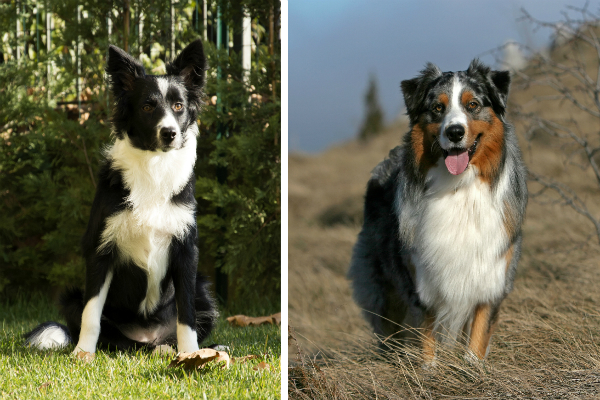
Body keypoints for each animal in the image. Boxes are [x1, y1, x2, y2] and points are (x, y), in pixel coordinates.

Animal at [26, 39, 218, 354]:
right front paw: (83, 354)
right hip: (72, 298)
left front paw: (191, 355)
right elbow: (92, 313)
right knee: (119, 340)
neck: (153, 165)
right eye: (148, 106)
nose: (169, 133)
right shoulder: (100, 248)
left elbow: (186, 315)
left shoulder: (186, 250)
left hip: (203, 289)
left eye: (178, 106)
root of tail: (149, 337)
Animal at [350, 60, 528, 362]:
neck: (459, 187)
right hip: (383, 289)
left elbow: (477, 337)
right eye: (437, 108)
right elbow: (427, 341)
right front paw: (429, 370)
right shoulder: (421, 281)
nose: (455, 132)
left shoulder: (491, 277)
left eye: (472, 104)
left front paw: (472, 369)